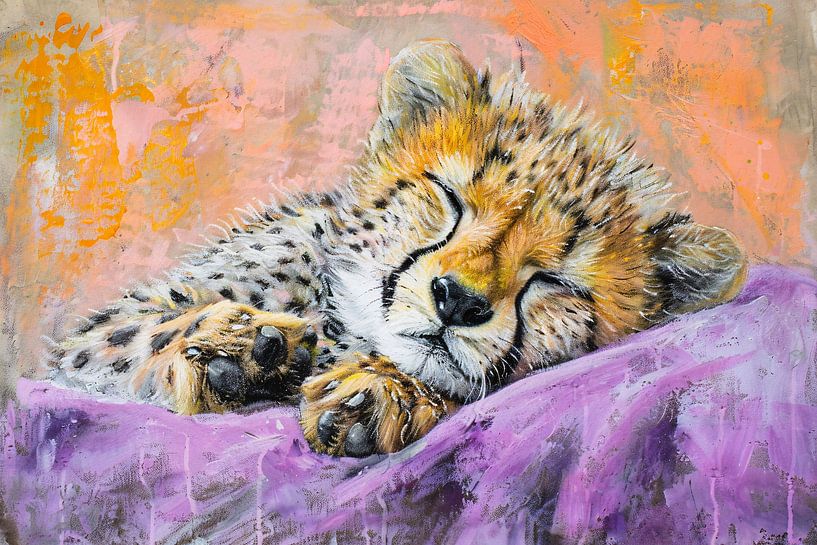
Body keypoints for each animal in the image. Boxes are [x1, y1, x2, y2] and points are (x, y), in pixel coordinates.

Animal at [48, 39, 746, 457]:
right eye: (450, 198)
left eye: (555, 280)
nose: (457, 301)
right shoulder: (95, 341)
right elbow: (147, 328)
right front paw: (238, 349)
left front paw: (387, 393)